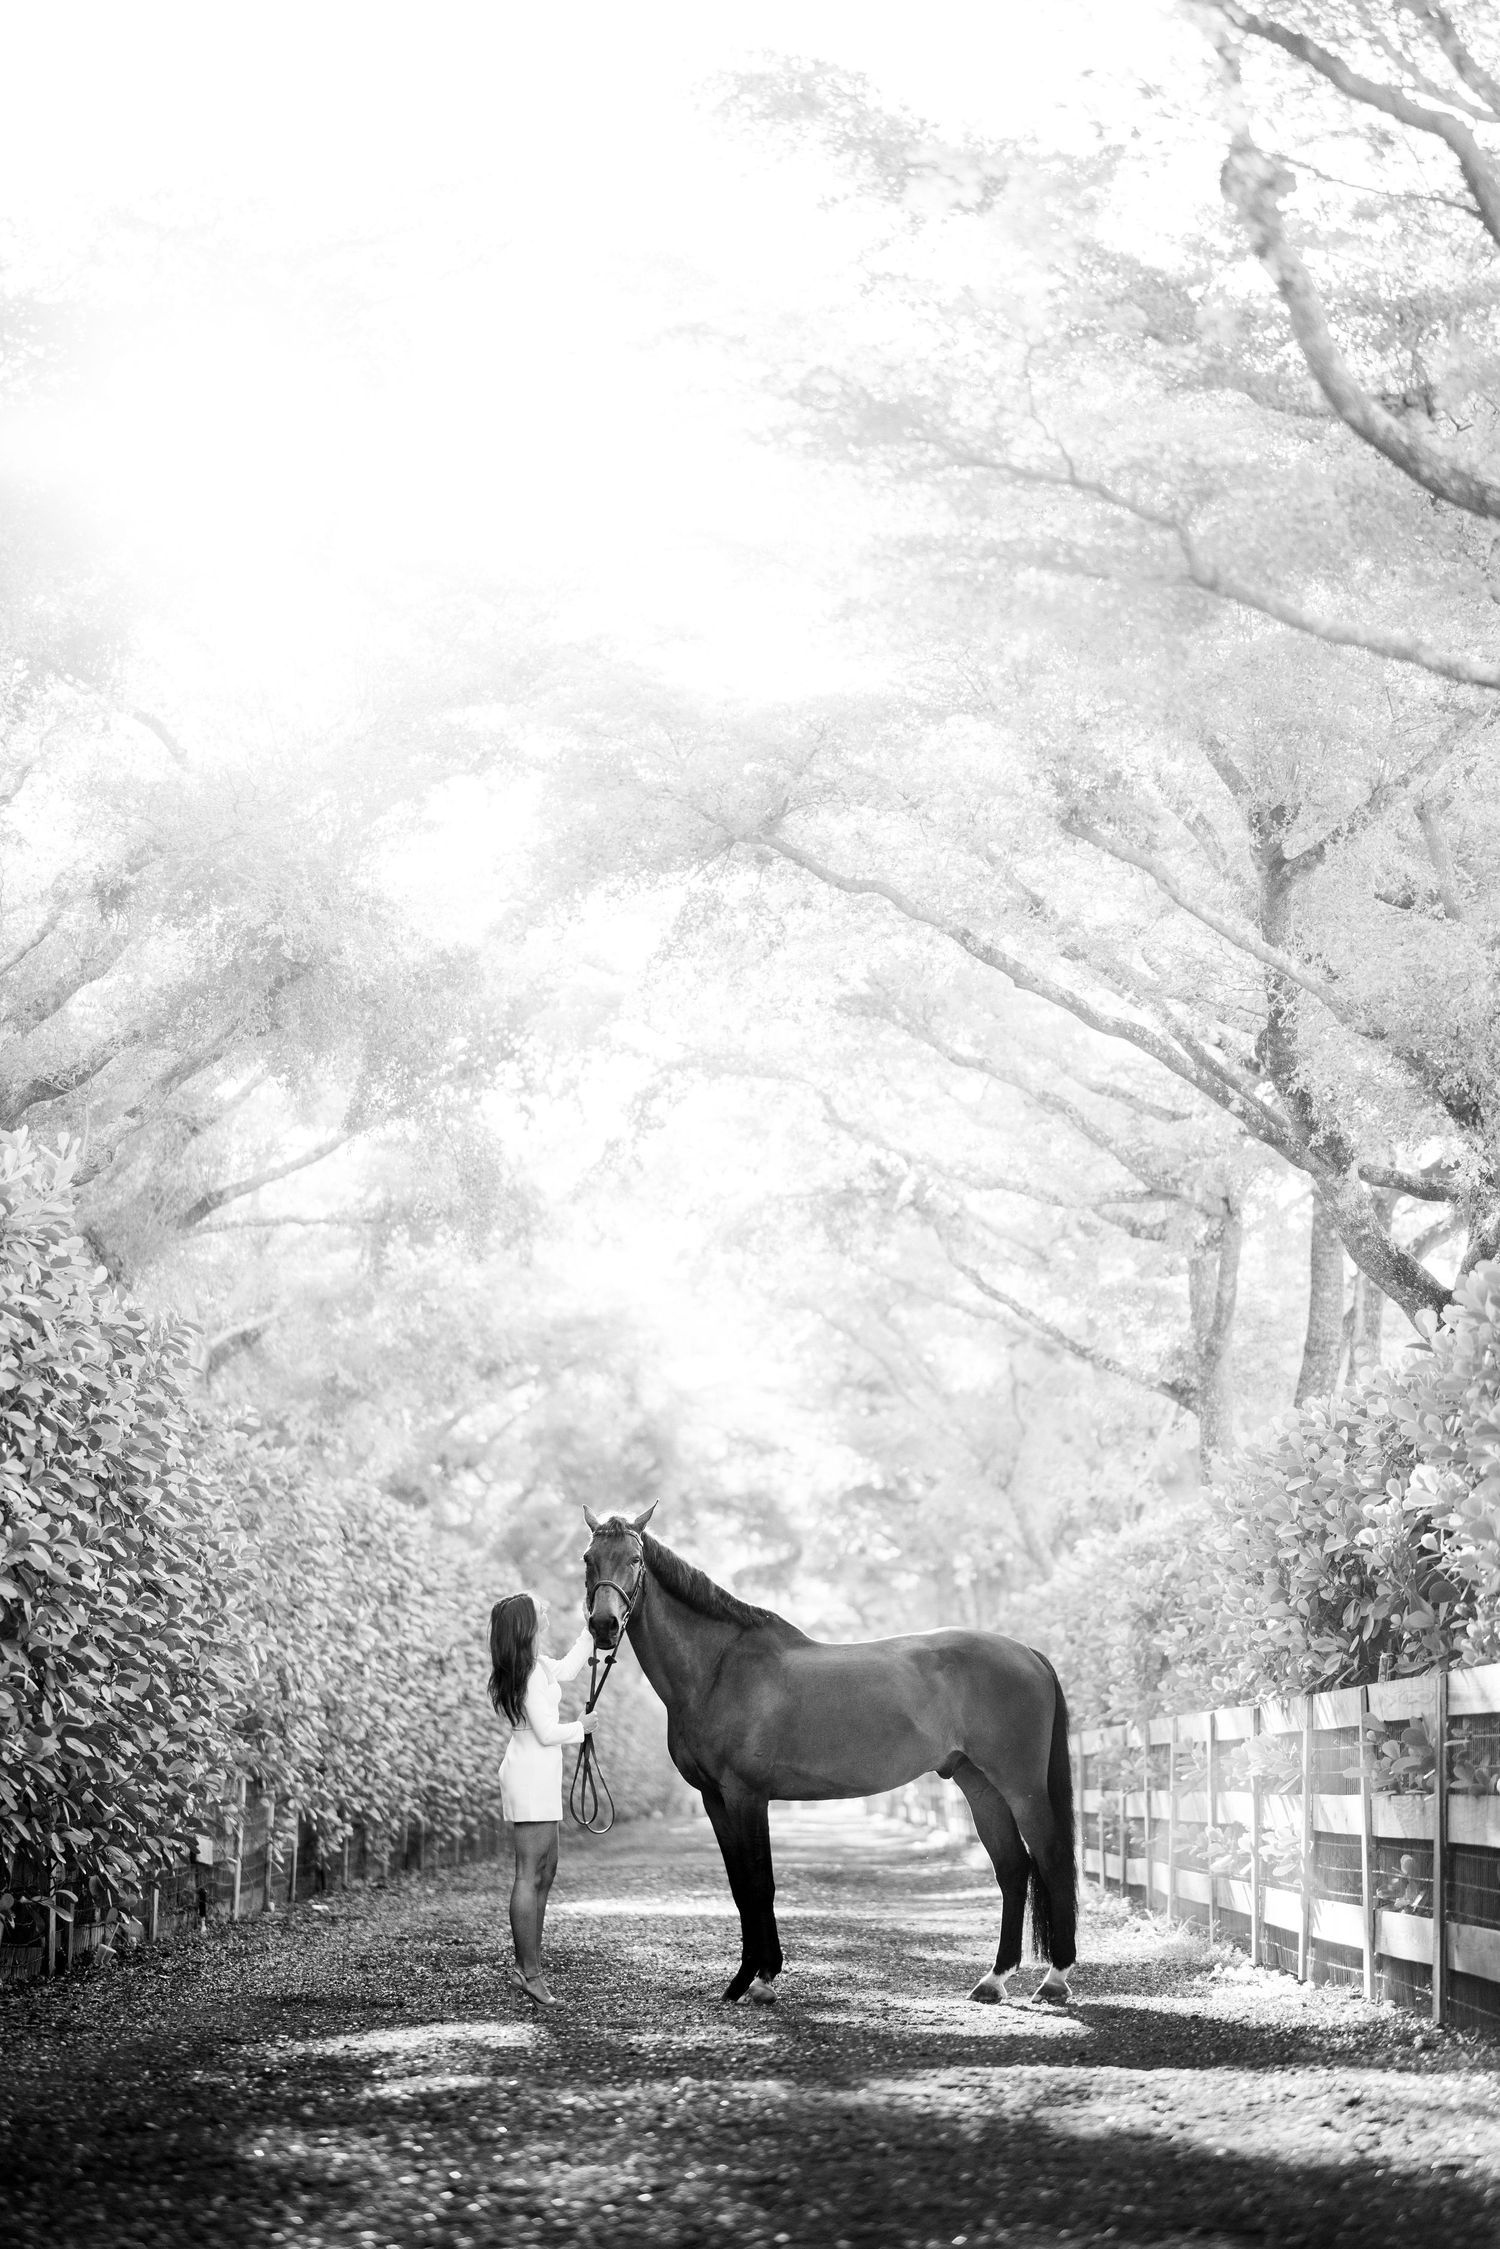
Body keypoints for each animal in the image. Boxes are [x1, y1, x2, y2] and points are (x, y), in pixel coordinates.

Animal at [581, 1505, 1076, 2009]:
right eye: (589, 1558)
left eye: (635, 1560)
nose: (603, 1625)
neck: (719, 1669)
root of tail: (1027, 1652)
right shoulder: (714, 1799)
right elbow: (740, 1886)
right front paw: (745, 1979)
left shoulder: (746, 1795)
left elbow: (760, 1883)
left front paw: (759, 1979)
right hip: (980, 1785)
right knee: (1013, 1868)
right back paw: (993, 1979)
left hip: (1021, 1786)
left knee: (1052, 1858)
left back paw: (1054, 1979)